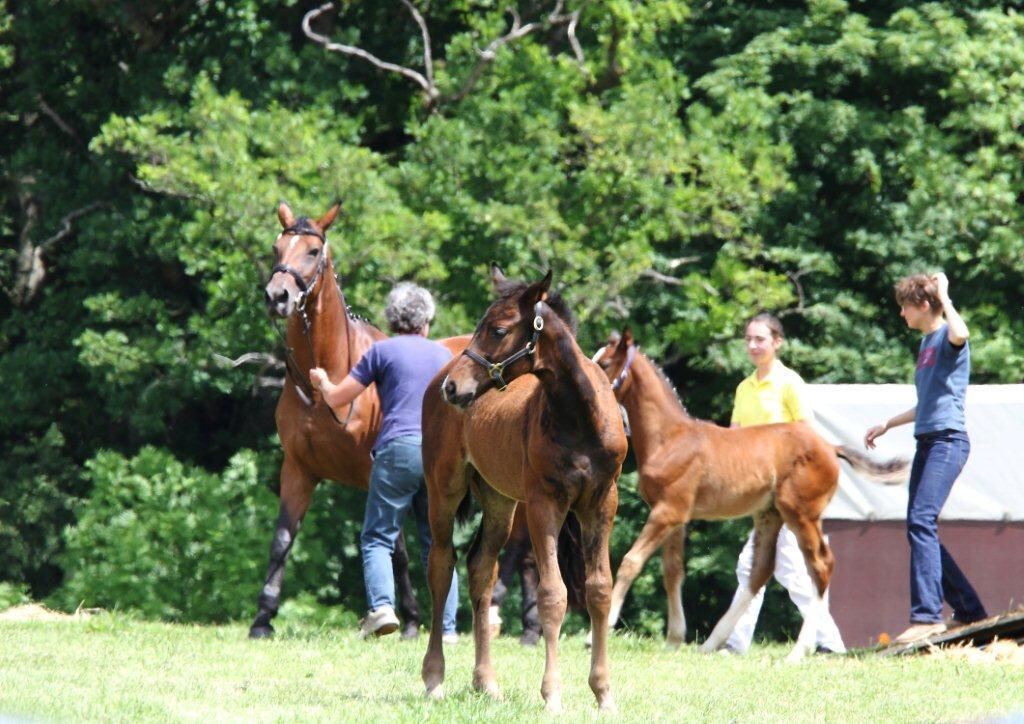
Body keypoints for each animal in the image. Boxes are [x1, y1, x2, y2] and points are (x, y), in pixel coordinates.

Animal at [419, 268, 626, 712]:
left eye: (498, 329)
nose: (454, 387)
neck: (580, 418)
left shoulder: (602, 502)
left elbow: (600, 589)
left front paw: (603, 693)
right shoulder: (544, 502)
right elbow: (553, 593)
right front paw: (552, 694)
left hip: (499, 502)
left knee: (481, 567)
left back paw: (486, 683)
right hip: (444, 488)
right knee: (441, 566)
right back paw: (434, 678)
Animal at [593, 331, 905, 659]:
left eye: (605, 363)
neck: (669, 438)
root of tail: (831, 447)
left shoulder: (668, 512)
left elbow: (630, 561)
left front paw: (599, 631)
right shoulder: (675, 516)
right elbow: (673, 572)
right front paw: (674, 639)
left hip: (801, 514)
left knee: (821, 566)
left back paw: (798, 651)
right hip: (770, 515)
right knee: (760, 571)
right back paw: (712, 643)